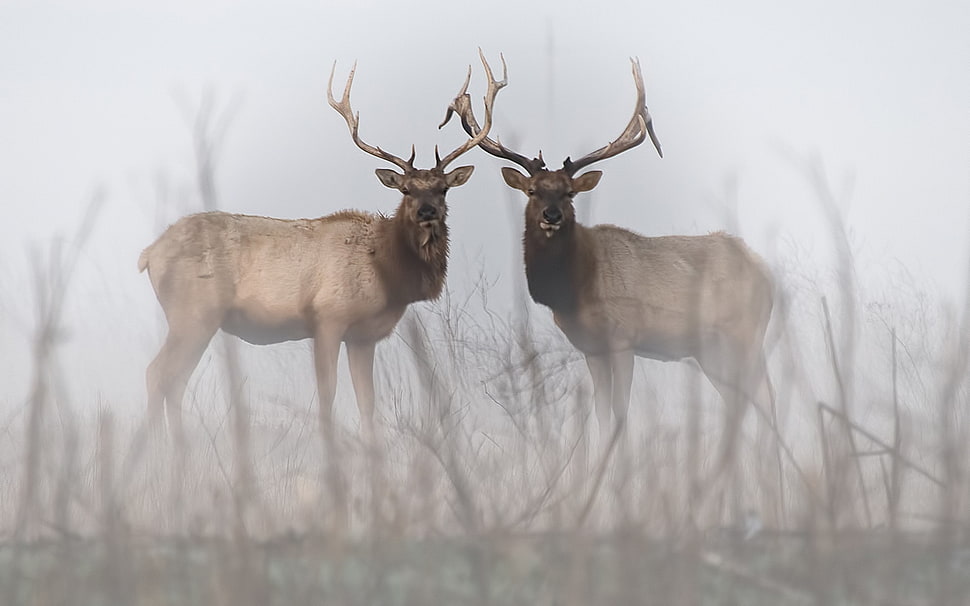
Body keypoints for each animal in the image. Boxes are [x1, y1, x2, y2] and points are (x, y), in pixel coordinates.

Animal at [143, 52, 506, 442]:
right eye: (406, 189)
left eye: (443, 188)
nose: (427, 211)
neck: (387, 274)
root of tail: (148, 254)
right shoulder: (328, 317)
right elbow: (328, 393)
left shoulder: (364, 337)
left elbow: (367, 403)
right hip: (193, 312)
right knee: (158, 373)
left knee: (174, 380)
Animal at [442, 57, 776, 468]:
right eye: (533, 190)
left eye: (570, 192)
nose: (552, 215)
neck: (579, 288)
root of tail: (768, 276)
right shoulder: (591, 347)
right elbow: (602, 413)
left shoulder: (624, 335)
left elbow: (620, 412)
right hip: (710, 350)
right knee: (740, 400)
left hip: (746, 332)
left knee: (764, 398)